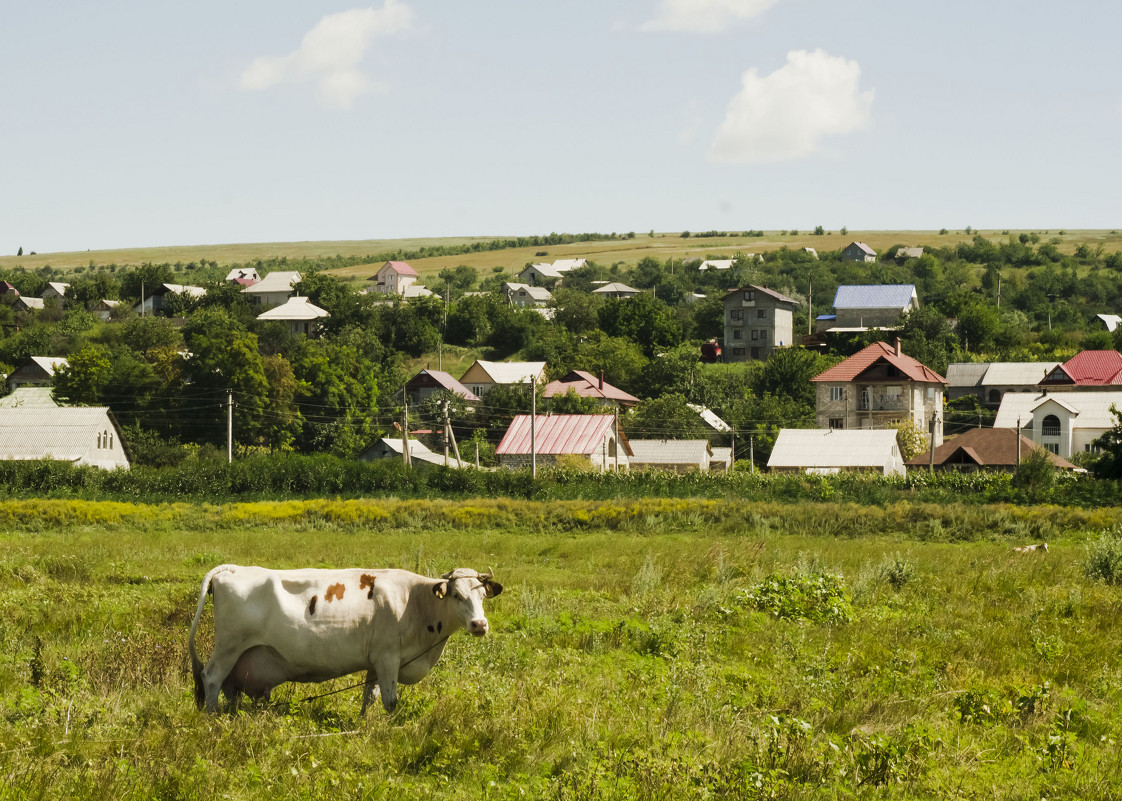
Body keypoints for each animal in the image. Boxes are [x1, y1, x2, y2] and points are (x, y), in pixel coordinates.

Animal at [189, 560, 504, 713]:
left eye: (481, 595)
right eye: (456, 595)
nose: (479, 624)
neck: (414, 601)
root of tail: (232, 568)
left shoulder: (375, 662)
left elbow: (370, 697)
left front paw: (364, 724)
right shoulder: (388, 657)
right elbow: (391, 702)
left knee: (229, 687)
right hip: (228, 647)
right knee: (212, 677)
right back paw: (213, 717)